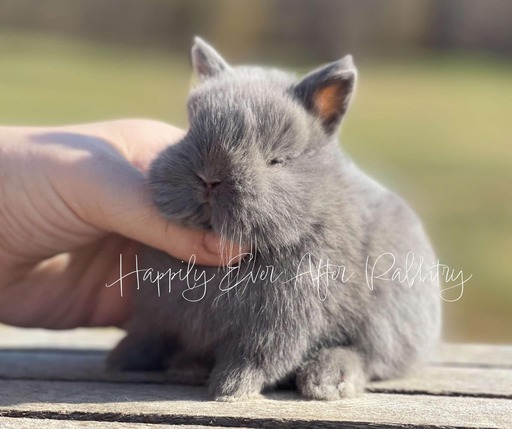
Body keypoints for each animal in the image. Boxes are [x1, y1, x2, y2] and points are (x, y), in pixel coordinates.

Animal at [107, 37, 440, 402]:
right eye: (188, 131)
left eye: (276, 160)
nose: (209, 178)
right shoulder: (159, 312)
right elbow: (150, 336)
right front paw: (122, 358)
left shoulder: (283, 322)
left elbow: (259, 357)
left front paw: (230, 389)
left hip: (387, 321)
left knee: (367, 357)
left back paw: (326, 381)